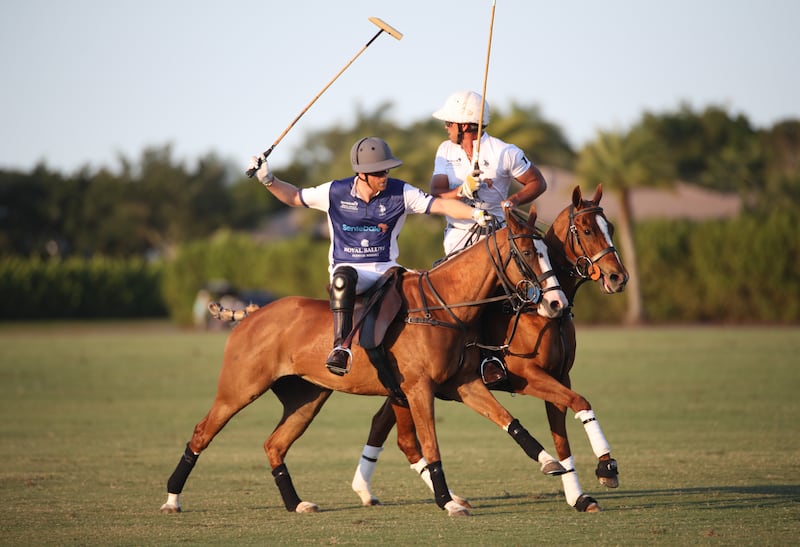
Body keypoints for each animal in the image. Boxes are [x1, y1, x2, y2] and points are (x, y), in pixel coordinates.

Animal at [158, 206, 568, 520]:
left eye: (547, 251)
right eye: (528, 253)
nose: (556, 303)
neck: (444, 306)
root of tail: (252, 313)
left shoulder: (464, 383)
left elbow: (509, 421)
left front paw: (551, 462)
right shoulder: (419, 389)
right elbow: (431, 445)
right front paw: (448, 502)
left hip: (306, 398)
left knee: (274, 444)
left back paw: (296, 503)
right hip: (239, 389)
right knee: (202, 433)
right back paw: (172, 499)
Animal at [350, 187, 632, 512]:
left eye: (610, 228)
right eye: (587, 230)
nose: (618, 277)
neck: (541, 313)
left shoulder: (560, 376)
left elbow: (562, 435)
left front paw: (579, 495)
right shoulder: (527, 376)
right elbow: (580, 402)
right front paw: (606, 467)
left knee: (386, 426)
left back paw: (368, 489)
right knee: (397, 433)